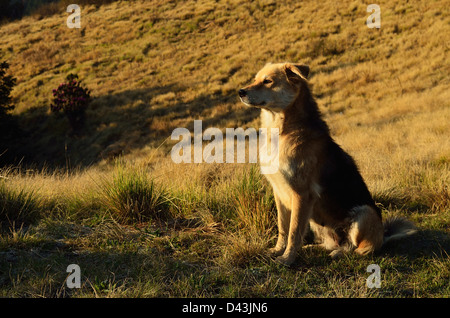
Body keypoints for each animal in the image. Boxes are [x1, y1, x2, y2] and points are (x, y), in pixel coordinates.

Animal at [237, 62, 416, 266]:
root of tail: (383, 235)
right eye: (255, 79)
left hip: (364, 213)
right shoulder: (279, 192)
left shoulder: (301, 194)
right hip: (318, 223)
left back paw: (341, 253)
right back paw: (313, 248)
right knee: (331, 244)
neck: (284, 131)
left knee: (361, 249)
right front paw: (277, 251)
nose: (240, 92)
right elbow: (283, 228)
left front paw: (288, 259)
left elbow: (294, 232)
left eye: (268, 81)